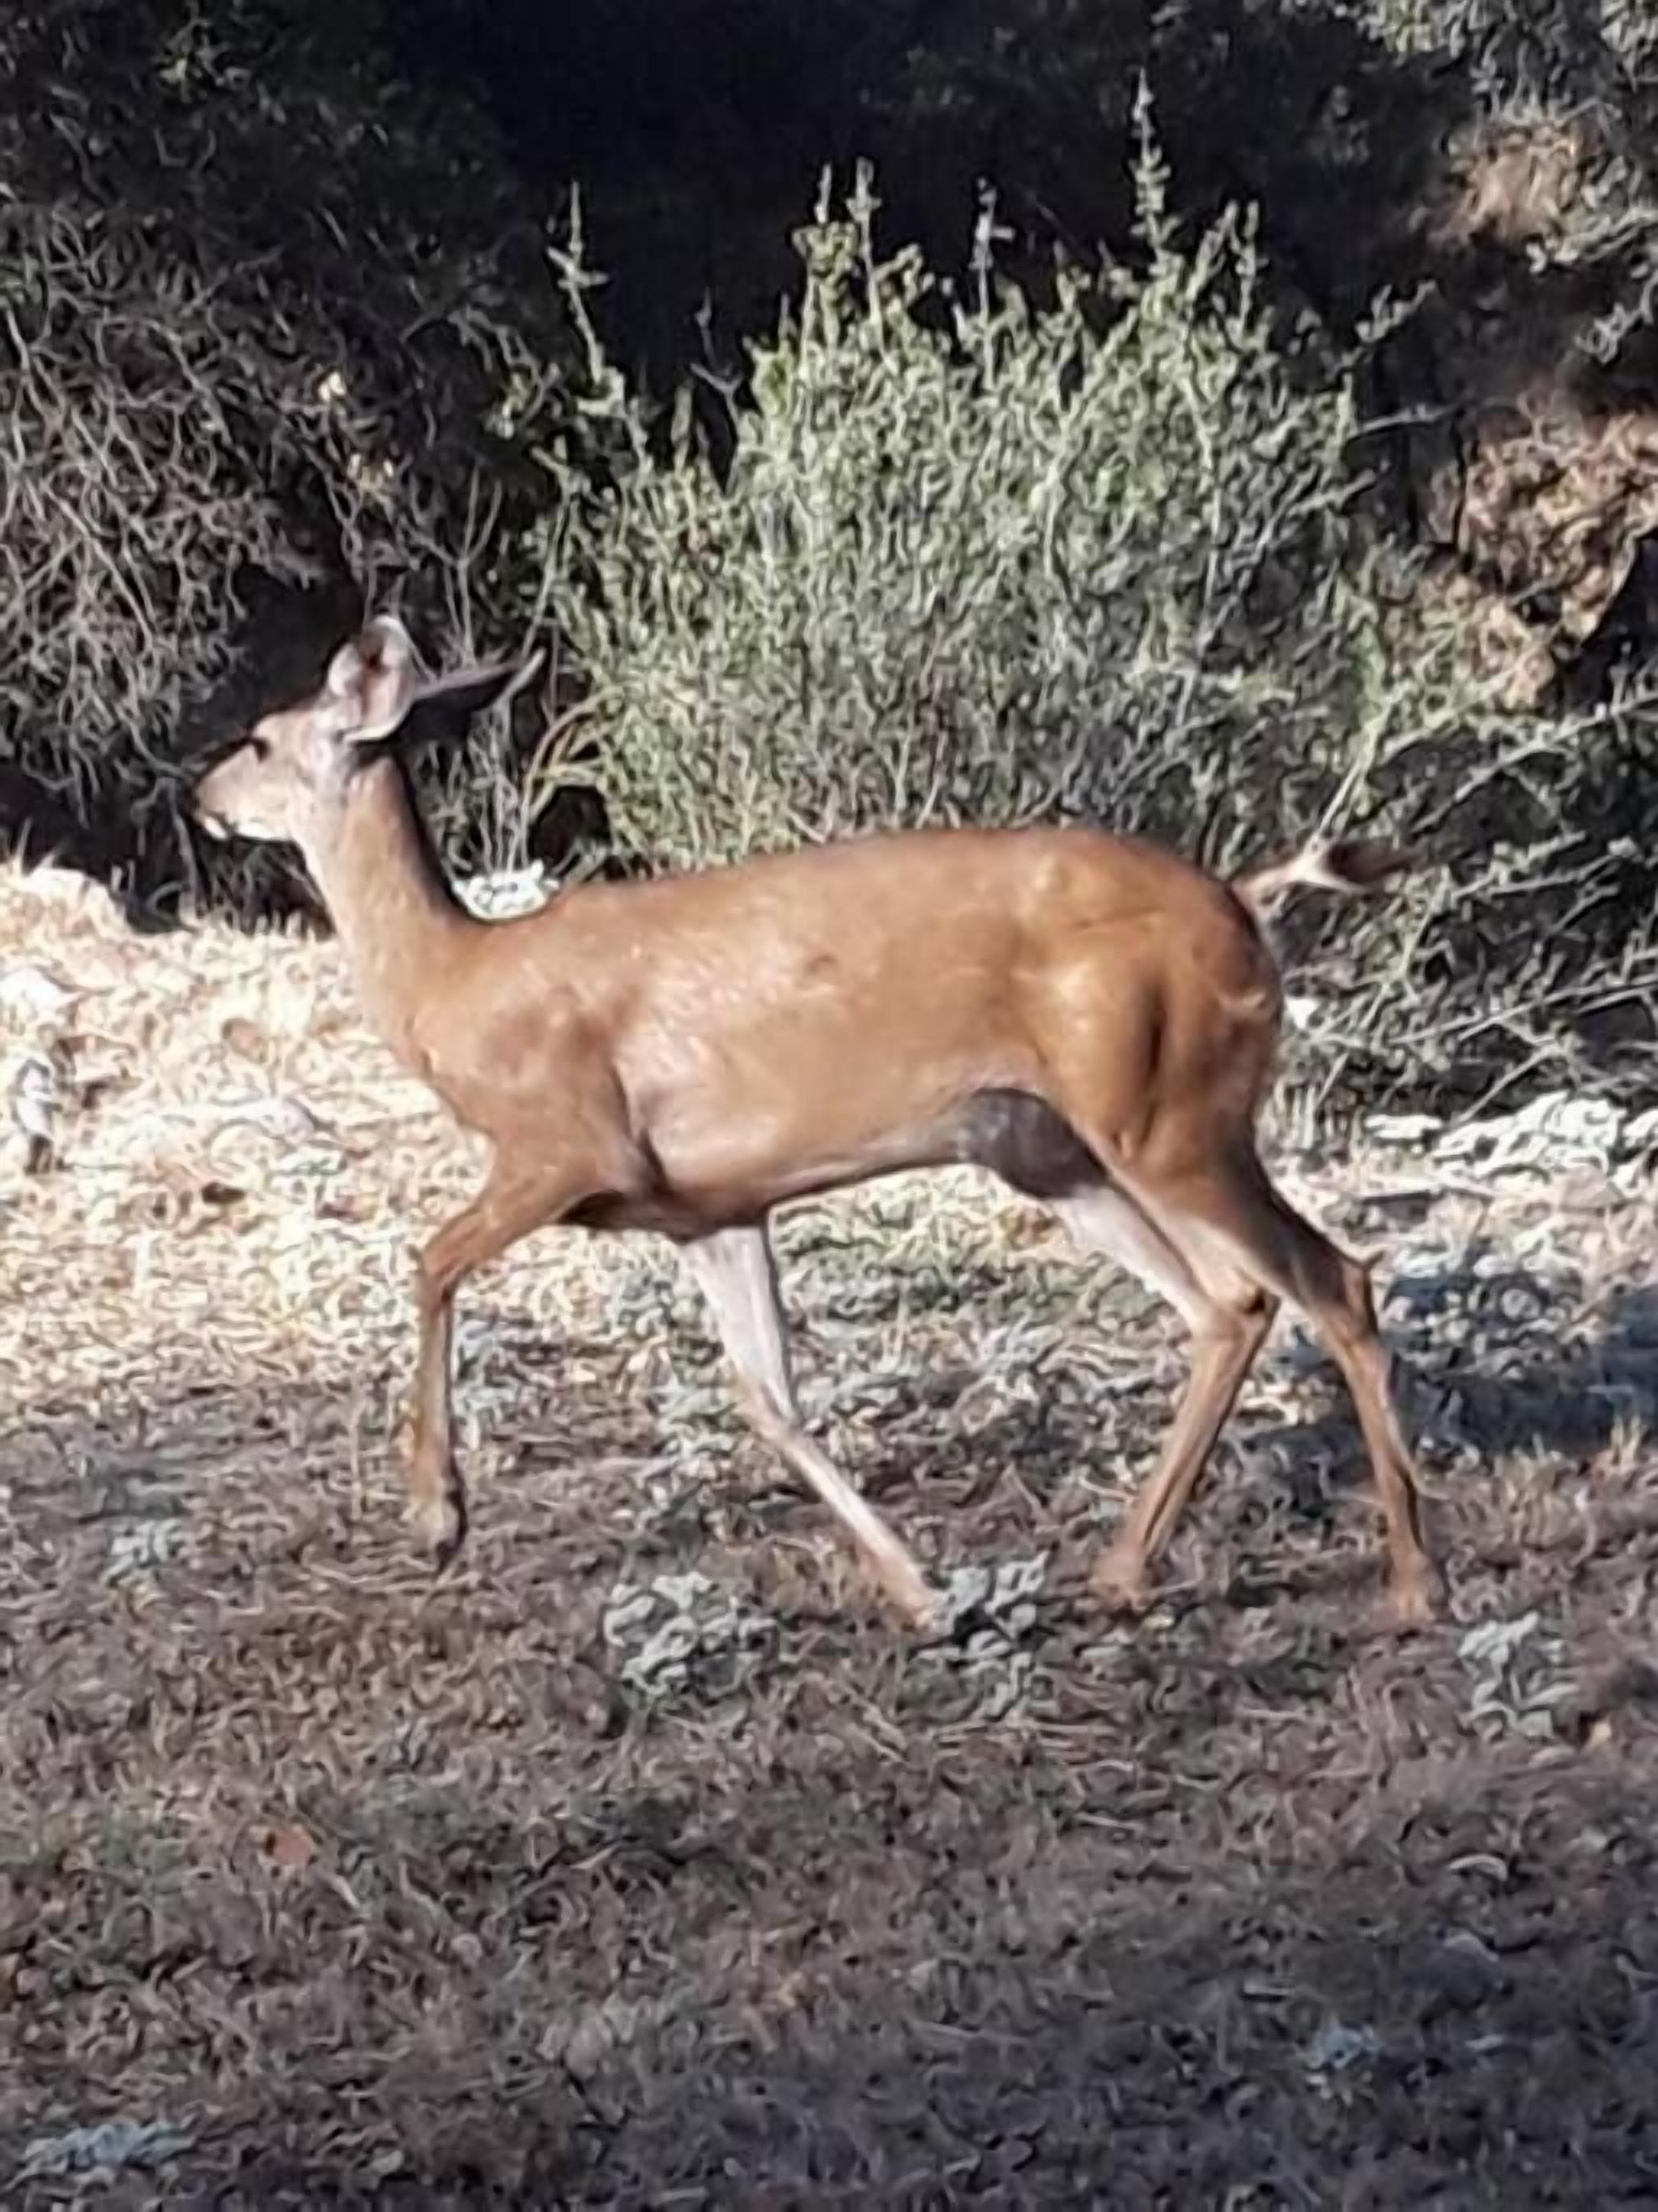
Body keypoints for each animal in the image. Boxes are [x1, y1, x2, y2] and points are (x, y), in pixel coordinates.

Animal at [192, 614, 1443, 1634]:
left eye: (259, 739)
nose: (199, 797)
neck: (453, 987)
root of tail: (1244, 903)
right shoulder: (707, 1206)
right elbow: (771, 1400)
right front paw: (922, 1590)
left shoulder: (566, 1143)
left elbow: (431, 1258)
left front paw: (436, 1515)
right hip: (1055, 1147)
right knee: (1229, 1303)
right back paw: (1122, 1571)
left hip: (1169, 1114)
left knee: (1330, 1278)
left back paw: (1412, 1583)